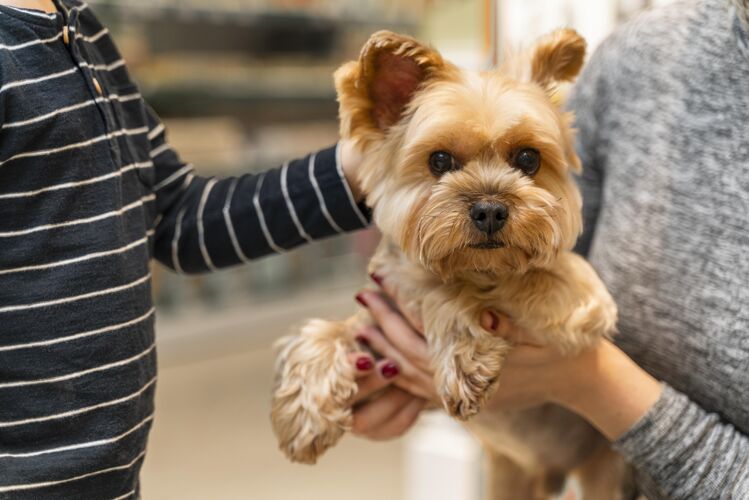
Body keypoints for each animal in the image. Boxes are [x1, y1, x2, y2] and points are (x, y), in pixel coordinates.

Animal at [272, 29, 628, 498]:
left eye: (528, 159)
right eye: (439, 160)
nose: (491, 210)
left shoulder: (580, 299)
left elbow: (458, 288)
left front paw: (464, 353)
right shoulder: (380, 340)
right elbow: (328, 331)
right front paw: (304, 415)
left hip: (603, 470)